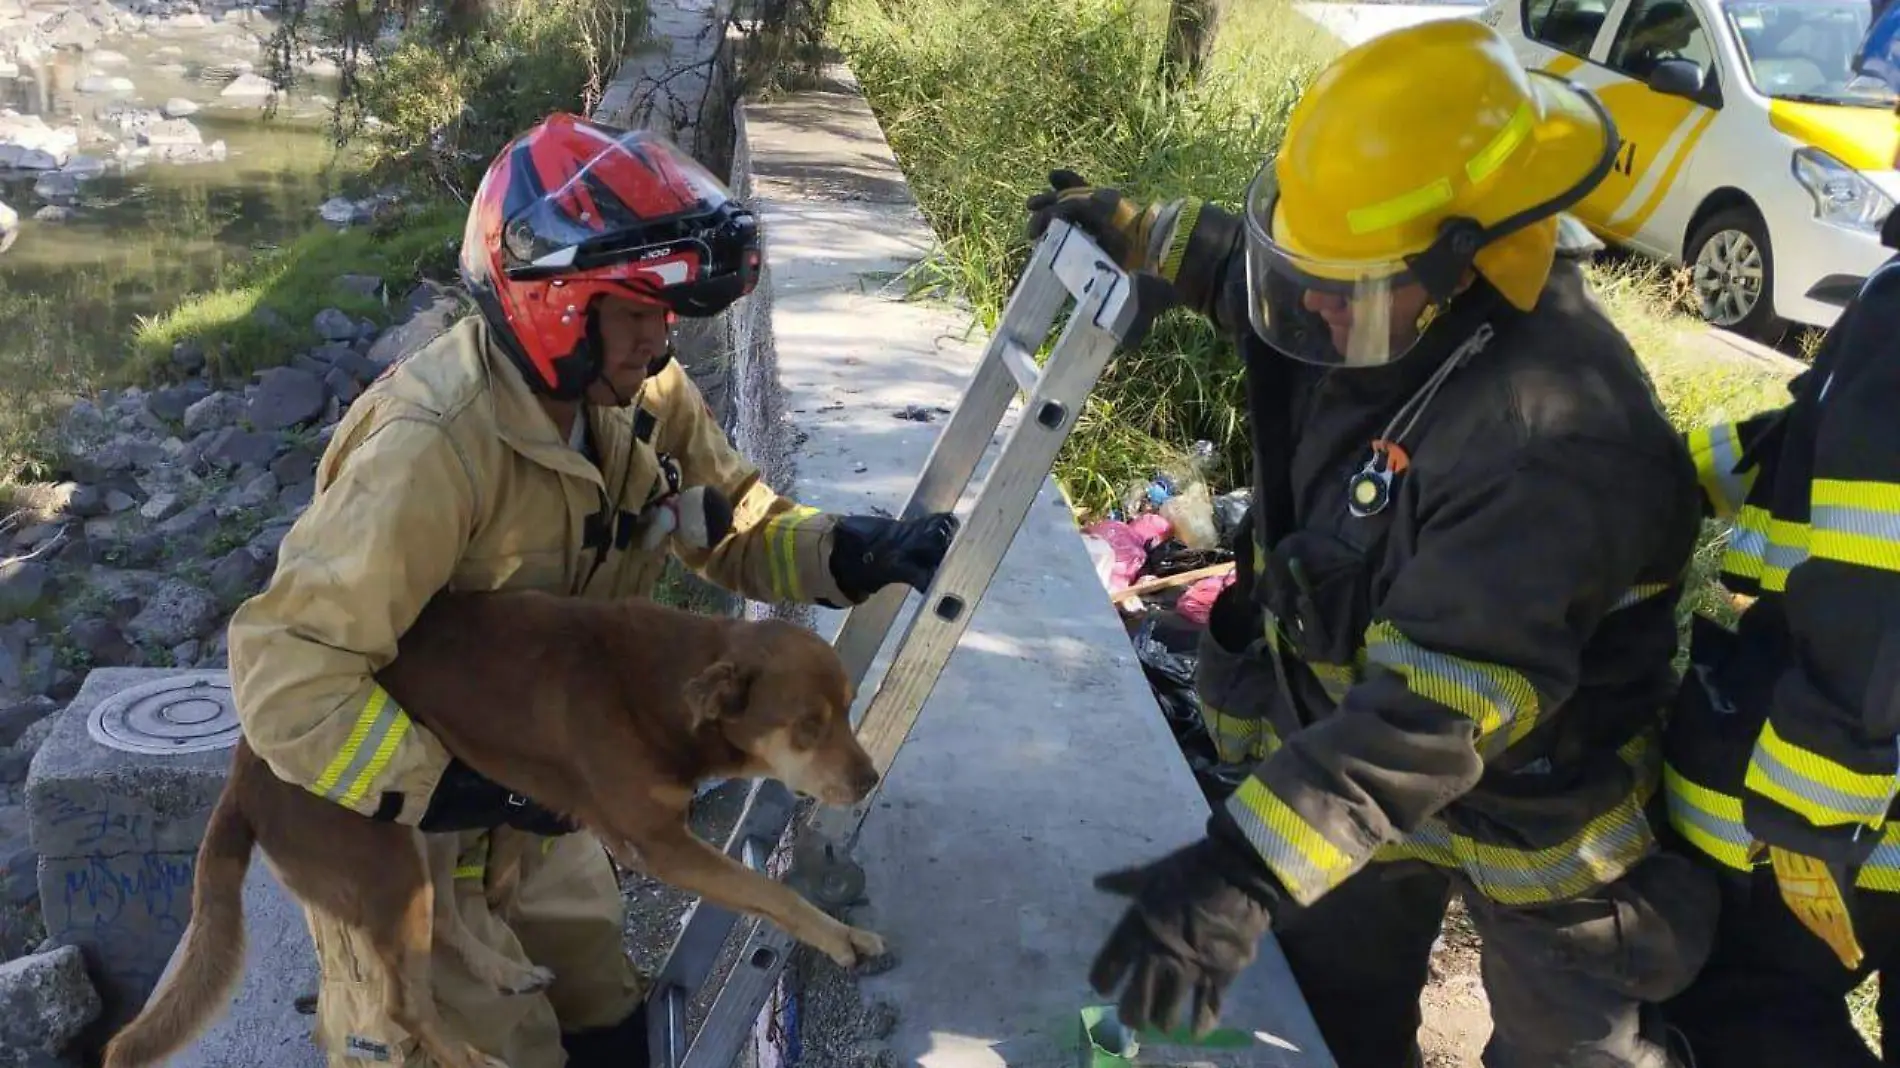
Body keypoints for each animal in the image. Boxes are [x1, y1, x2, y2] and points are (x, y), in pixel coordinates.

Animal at [107, 585, 893, 1064]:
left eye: (847, 709)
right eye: (807, 726)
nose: (869, 779)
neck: (658, 686)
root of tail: (242, 776)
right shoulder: (657, 843)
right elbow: (774, 894)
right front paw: (844, 939)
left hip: (426, 827)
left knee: (446, 924)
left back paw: (505, 971)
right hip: (386, 864)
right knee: (402, 1004)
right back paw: (471, 1056)